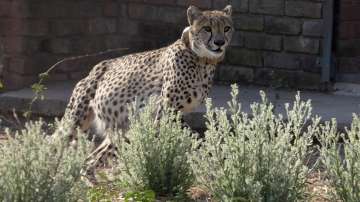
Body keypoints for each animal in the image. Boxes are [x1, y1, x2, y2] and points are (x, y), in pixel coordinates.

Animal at [62, 5, 235, 174]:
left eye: (226, 28)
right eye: (207, 28)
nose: (220, 42)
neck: (203, 60)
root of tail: (94, 69)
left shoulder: (177, 113)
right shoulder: (166, 110)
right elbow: (178, 137)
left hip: (120, 129)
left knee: (95, 157)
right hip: (76, 120)